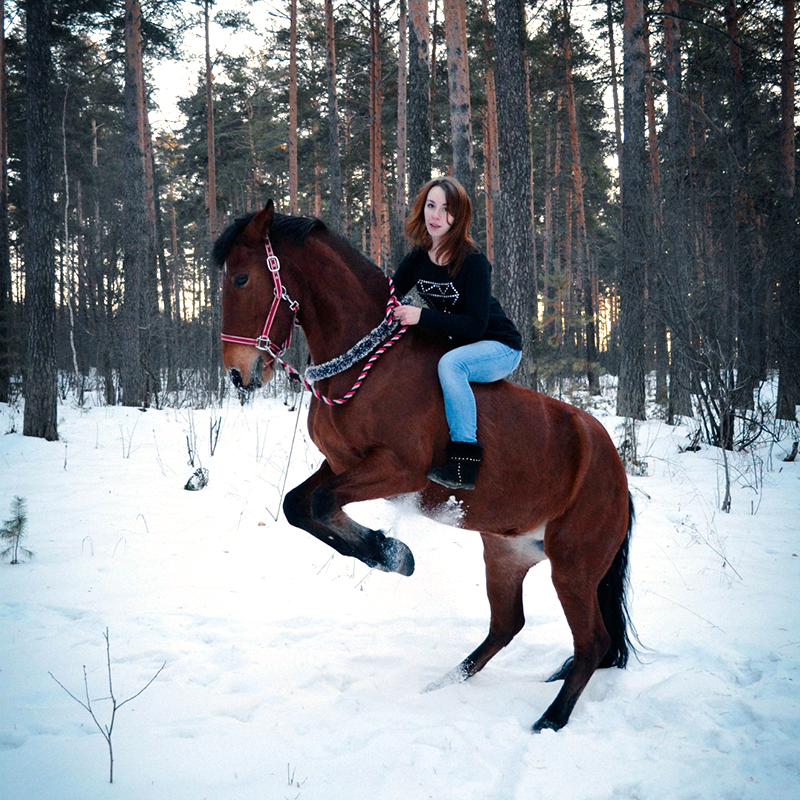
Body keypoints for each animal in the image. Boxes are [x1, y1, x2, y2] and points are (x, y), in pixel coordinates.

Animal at [214, 202, 636, 732]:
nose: (237, 372)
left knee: (592, 642)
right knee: (507, 625)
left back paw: (549, 721)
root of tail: (616, 473)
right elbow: (298, 505)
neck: (367, 364)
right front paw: (390, 552)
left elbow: (321, 502)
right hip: (507, 553)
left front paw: (391, 553)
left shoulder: (399, 472)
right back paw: (446, 683)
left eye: (242, 278)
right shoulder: (341, 462)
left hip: (574, 567)